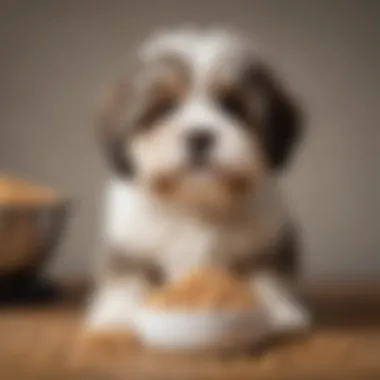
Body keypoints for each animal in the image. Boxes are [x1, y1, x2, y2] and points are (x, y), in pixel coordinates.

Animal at [87, 26, 312, 336]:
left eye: (233, 107)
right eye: (164, 108)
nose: (199, 136)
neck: (196, 204)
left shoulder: (269, 239)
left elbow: (266, 275)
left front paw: (275, 311)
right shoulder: (128, 240)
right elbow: (127, 277)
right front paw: (118, 313)